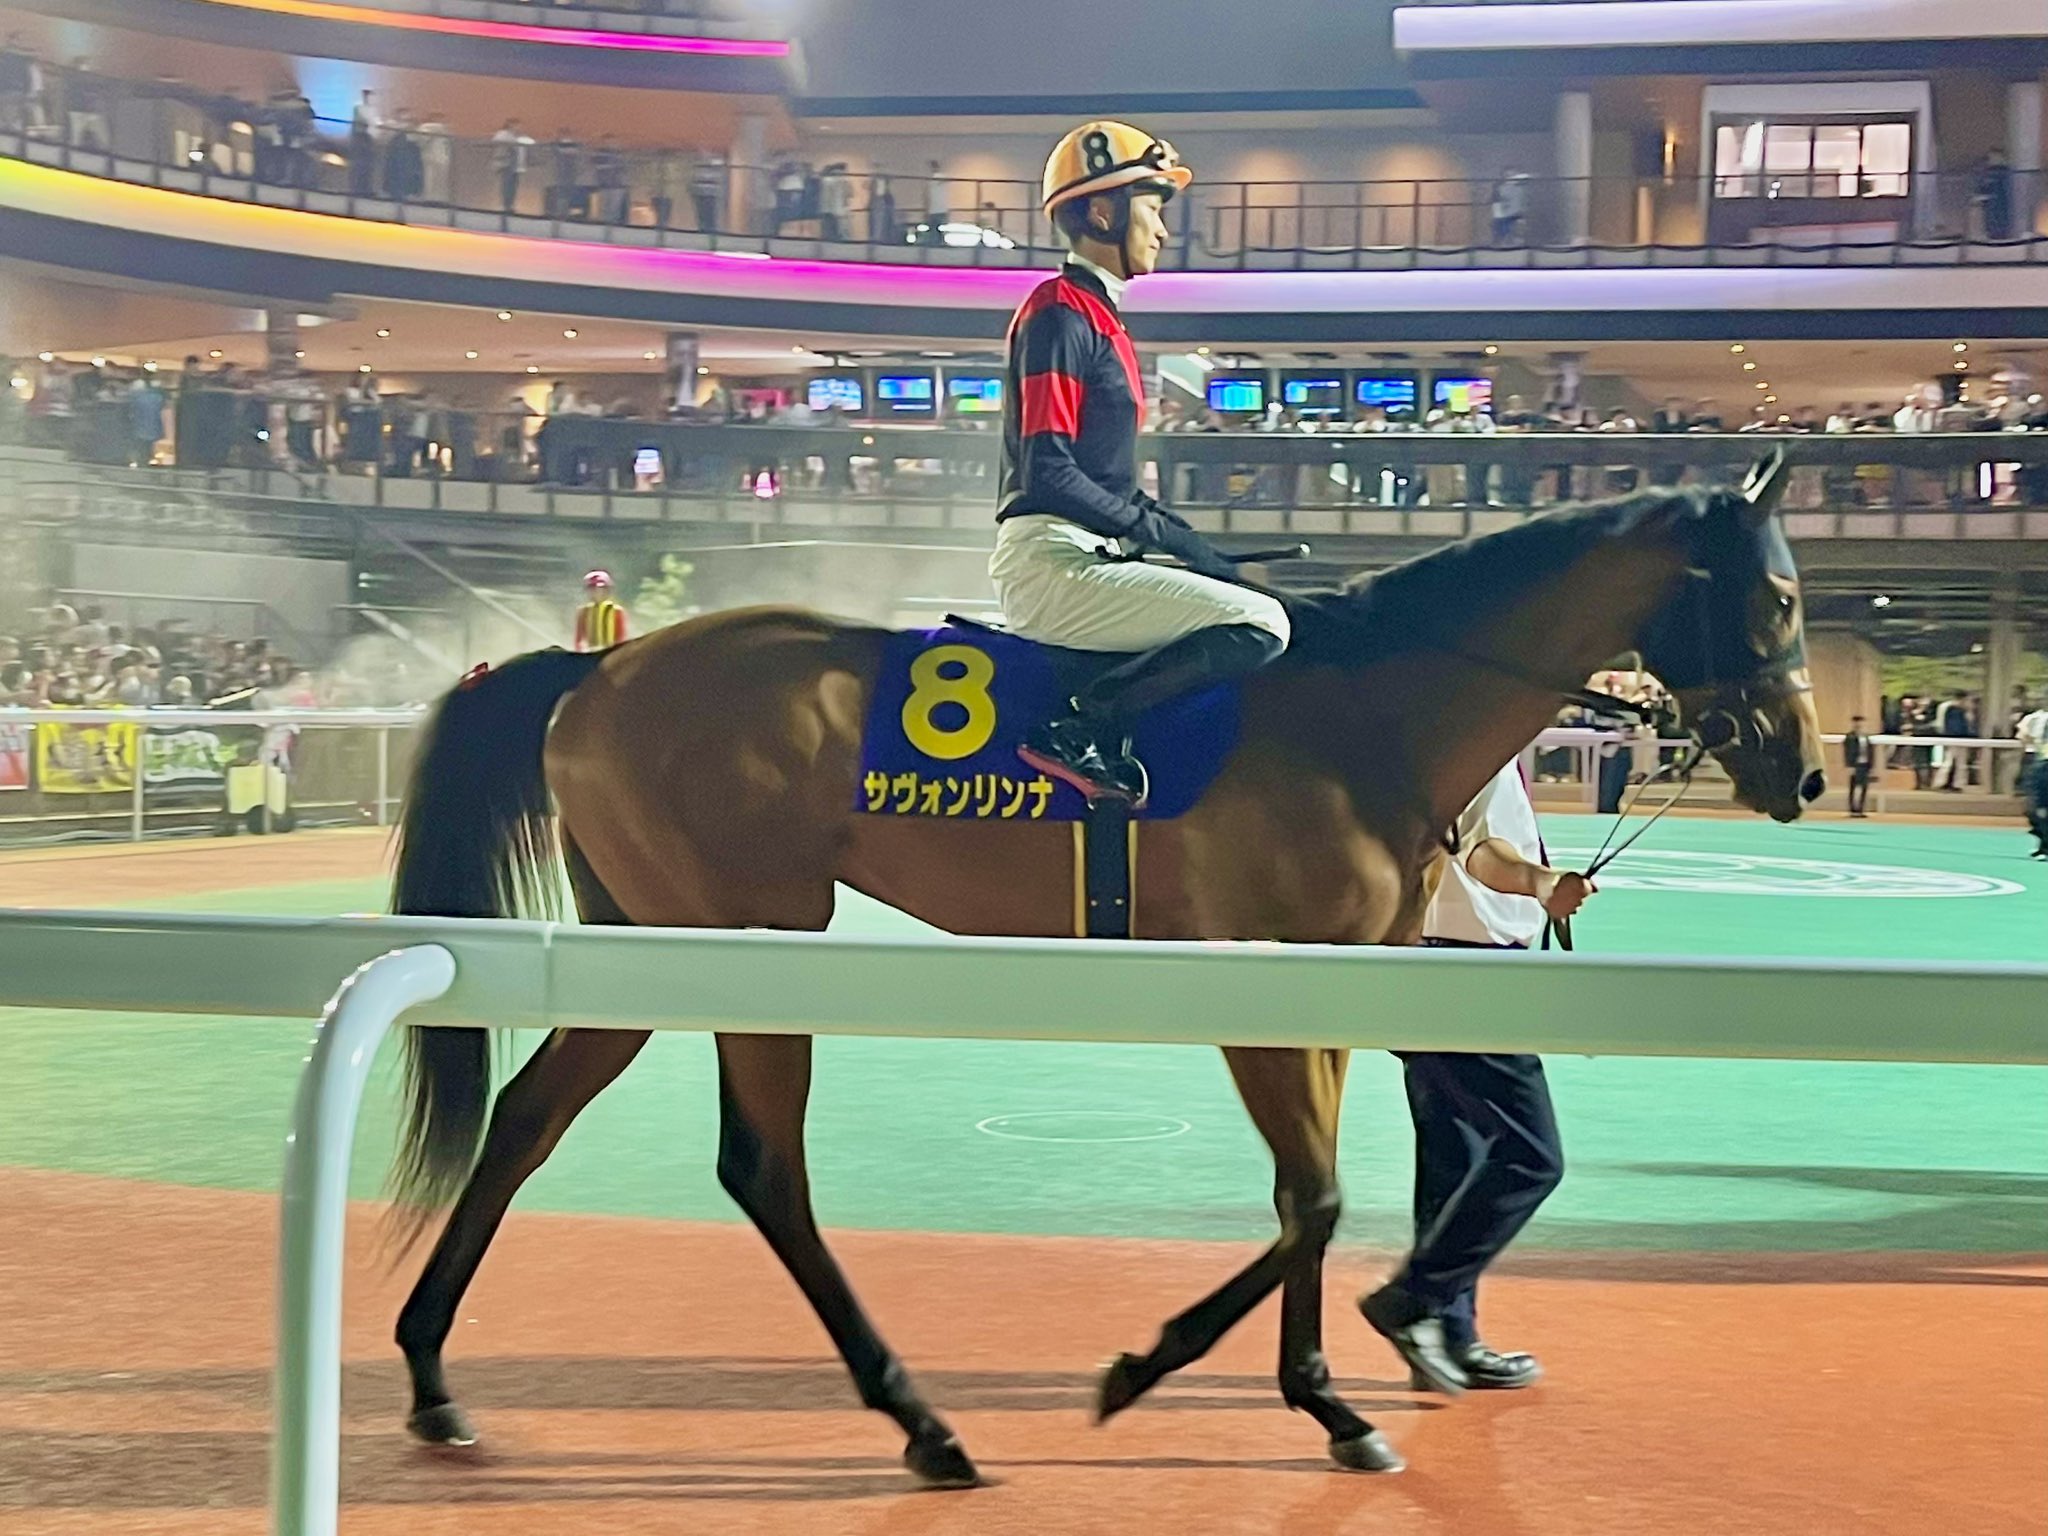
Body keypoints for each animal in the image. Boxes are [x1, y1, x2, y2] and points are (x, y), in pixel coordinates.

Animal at [384, 455, 1824, 1485]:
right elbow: (1312, 1196)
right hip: (751, 943)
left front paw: (1319, 1394)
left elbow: (1313, 1197)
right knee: (761, 1171)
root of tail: (603, 660)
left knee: (527, 1118)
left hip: (637, 944)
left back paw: (434, 1379)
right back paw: (918, 1421)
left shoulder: (1334, 978)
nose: (1803, 771)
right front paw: (1171, 1371)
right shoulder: (1259, 980)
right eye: (1779, 597)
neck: (1364, 711)